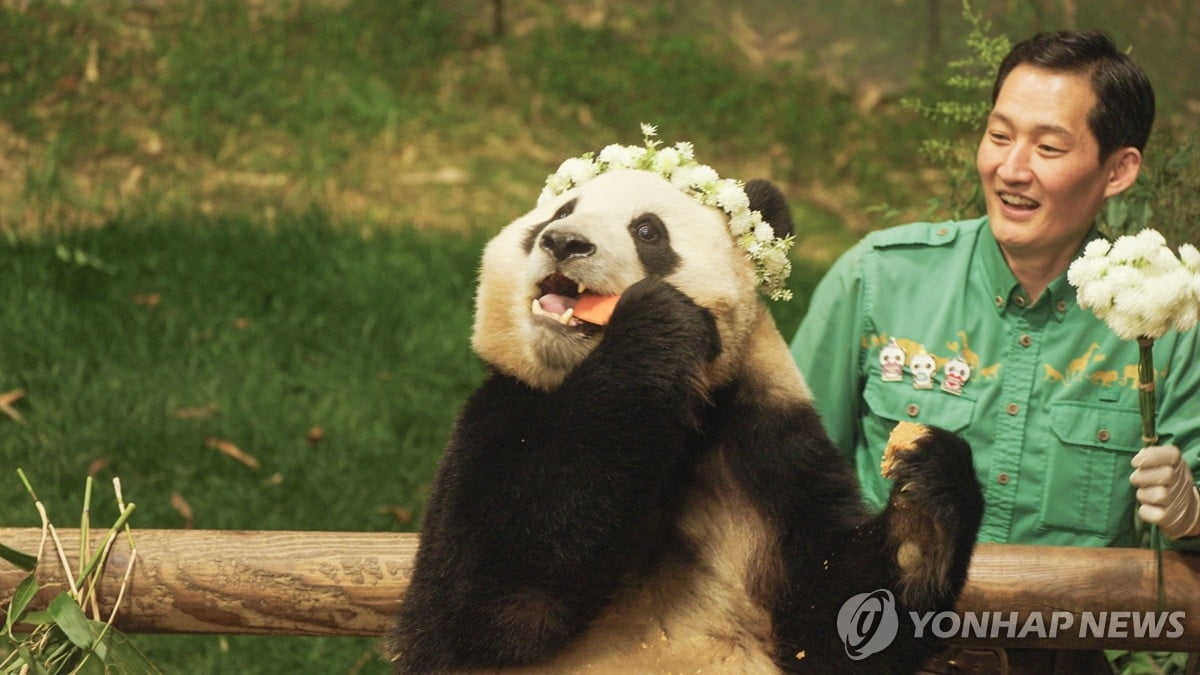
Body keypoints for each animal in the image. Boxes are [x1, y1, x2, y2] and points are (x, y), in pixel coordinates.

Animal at [386, 141, 984, 667]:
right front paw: (658, 323)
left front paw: (926, 496)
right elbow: (480, 604)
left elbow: (835, 621)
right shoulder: (501, 411)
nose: (564, 241)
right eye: (560, 212)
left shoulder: (767, 442)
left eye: (647, 230)